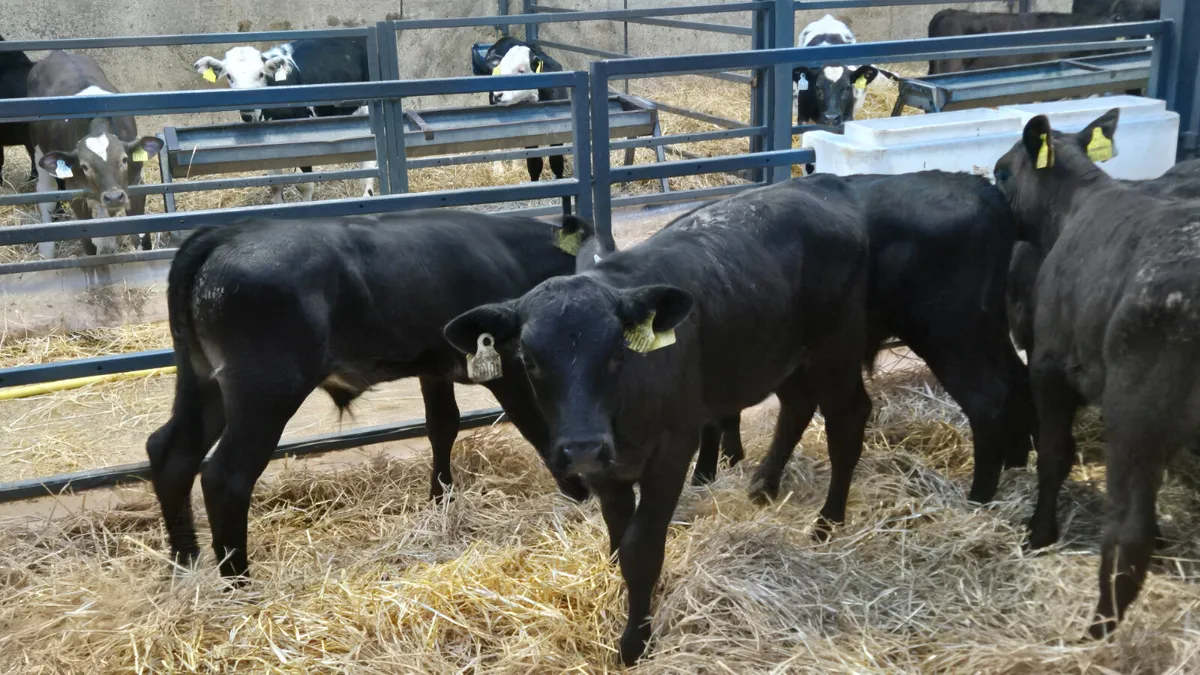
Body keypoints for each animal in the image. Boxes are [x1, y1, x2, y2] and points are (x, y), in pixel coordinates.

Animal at [28, 51, 163, 259]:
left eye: (124, 160)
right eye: (84, 166)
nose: (114, 197)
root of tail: (58, 53)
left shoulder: (136, 183)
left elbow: (141, 238)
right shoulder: (74, 191)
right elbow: (88, 241)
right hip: (38, 150)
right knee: (46, 194)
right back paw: (47, 251)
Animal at [145, 209, 589, 583]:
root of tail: (222, 234)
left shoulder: (433, 367)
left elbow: (442, 426)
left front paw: (440, 502)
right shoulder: (507, 366)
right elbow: (538, 429)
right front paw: (581, 498)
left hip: (204, 382)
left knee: (171, 452)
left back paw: (183, 566)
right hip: (265, 388)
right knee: (226, 476)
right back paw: (239, 585)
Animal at [445, 180, 872, 664]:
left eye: (617, 351)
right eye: (529, 359)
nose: (582, 447)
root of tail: (818, 185)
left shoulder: (672, 450)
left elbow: (642, 546)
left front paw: (635, 640)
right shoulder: (605, 468)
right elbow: (618, 537)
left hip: (836, 350)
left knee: (847, 420)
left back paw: (828, 521)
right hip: (785, 356)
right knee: (797, 406)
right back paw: (763, 485)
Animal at [480, 37, 569, 197]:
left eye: (521, 71)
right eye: (500, 70)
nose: (497, 94)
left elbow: (556, 159)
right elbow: (534, 162)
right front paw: (533, 181)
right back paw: (499, 170)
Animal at [993, 108, 1200, 639]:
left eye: (1002, 173)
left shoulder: (1049, 367)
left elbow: (1054, 455)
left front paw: (1039, 532)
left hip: (1136, 414)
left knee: (1129, 530)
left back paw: (1097, 631)